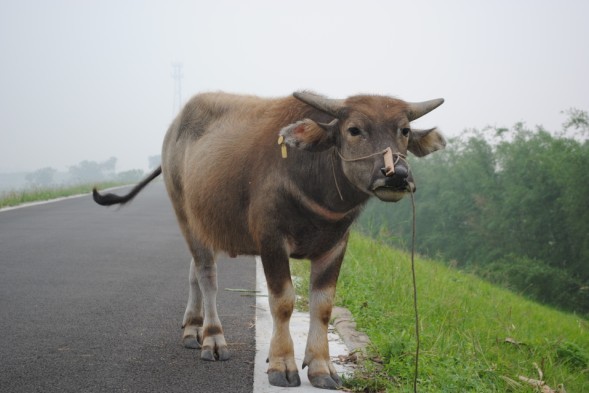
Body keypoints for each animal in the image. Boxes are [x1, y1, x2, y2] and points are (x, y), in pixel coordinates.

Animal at [92, 90, 444, 388]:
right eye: (354, 129)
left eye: (404, 130)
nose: (396, 175)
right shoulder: (271, 241)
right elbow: (283, 301)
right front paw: (282, 365)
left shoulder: (335, 245)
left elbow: (323, 305)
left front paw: (321, 367)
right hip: (184, 215)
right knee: (207, 276)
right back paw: (213, 338)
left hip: (209, 224)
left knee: (194, 272)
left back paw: (193, 328)